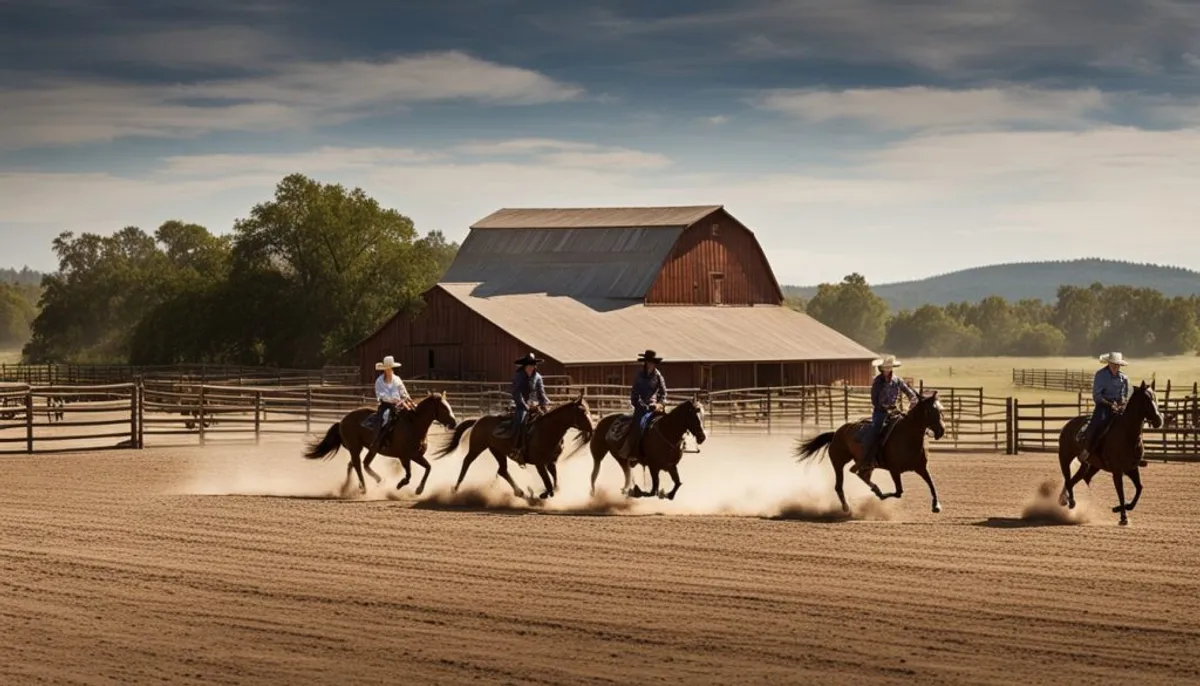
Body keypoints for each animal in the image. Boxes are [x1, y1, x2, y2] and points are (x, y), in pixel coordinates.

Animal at [304, 388, 458, 496]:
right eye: (444, 408)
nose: (454, 423)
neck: (414, 424)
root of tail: (341, 421)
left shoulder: (416, 455)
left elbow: (428, 467)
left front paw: (419, 489)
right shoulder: (404, 457)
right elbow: (408, 475)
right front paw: (400, 484)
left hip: (369, 449)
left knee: (356, 464)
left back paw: (349, 487)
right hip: (356, 447)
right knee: (359, 465)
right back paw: (367, 486)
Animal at [436, 393, 595, 501]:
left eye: (588, 410)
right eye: (582, 411)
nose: (592, 428)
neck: (547, 431)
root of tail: (478, 420)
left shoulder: (551, 462)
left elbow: (555, 482)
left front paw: (543, 492)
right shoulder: (539, 464)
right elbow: (548, 482)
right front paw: (543, 494)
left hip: (497, 451)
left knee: (502, 470)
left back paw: (520, 492)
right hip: (477, 447)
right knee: (467, 462)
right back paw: (455, 488)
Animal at [792, 390, 950, 513]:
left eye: (941, 410)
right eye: (930, 411)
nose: (941, 431)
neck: (908, 437)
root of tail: (836, 433)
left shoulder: (921, 468)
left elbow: (932, 484)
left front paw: (936, 505)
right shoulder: (894, 470)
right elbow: (899, 492)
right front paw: (880, 495)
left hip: (866, 464)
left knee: (860, 474)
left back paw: (874, 490)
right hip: (838, 462)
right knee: (840, 485)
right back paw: (847, 507)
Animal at [1060, 381, 1161, 525]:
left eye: (1155, 397)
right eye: (1146, 399)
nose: (1159, 420)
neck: (1127, 434)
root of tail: (1068, 424)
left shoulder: (1132, 468)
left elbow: (1139, 488)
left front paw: (1119, 508)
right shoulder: (1117, 471)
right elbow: (1121, 493)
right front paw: (1123, 517)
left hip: (1088, 465)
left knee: (1078, 480)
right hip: (1064, 458)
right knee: (1068, 480)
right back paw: (1071, 502)